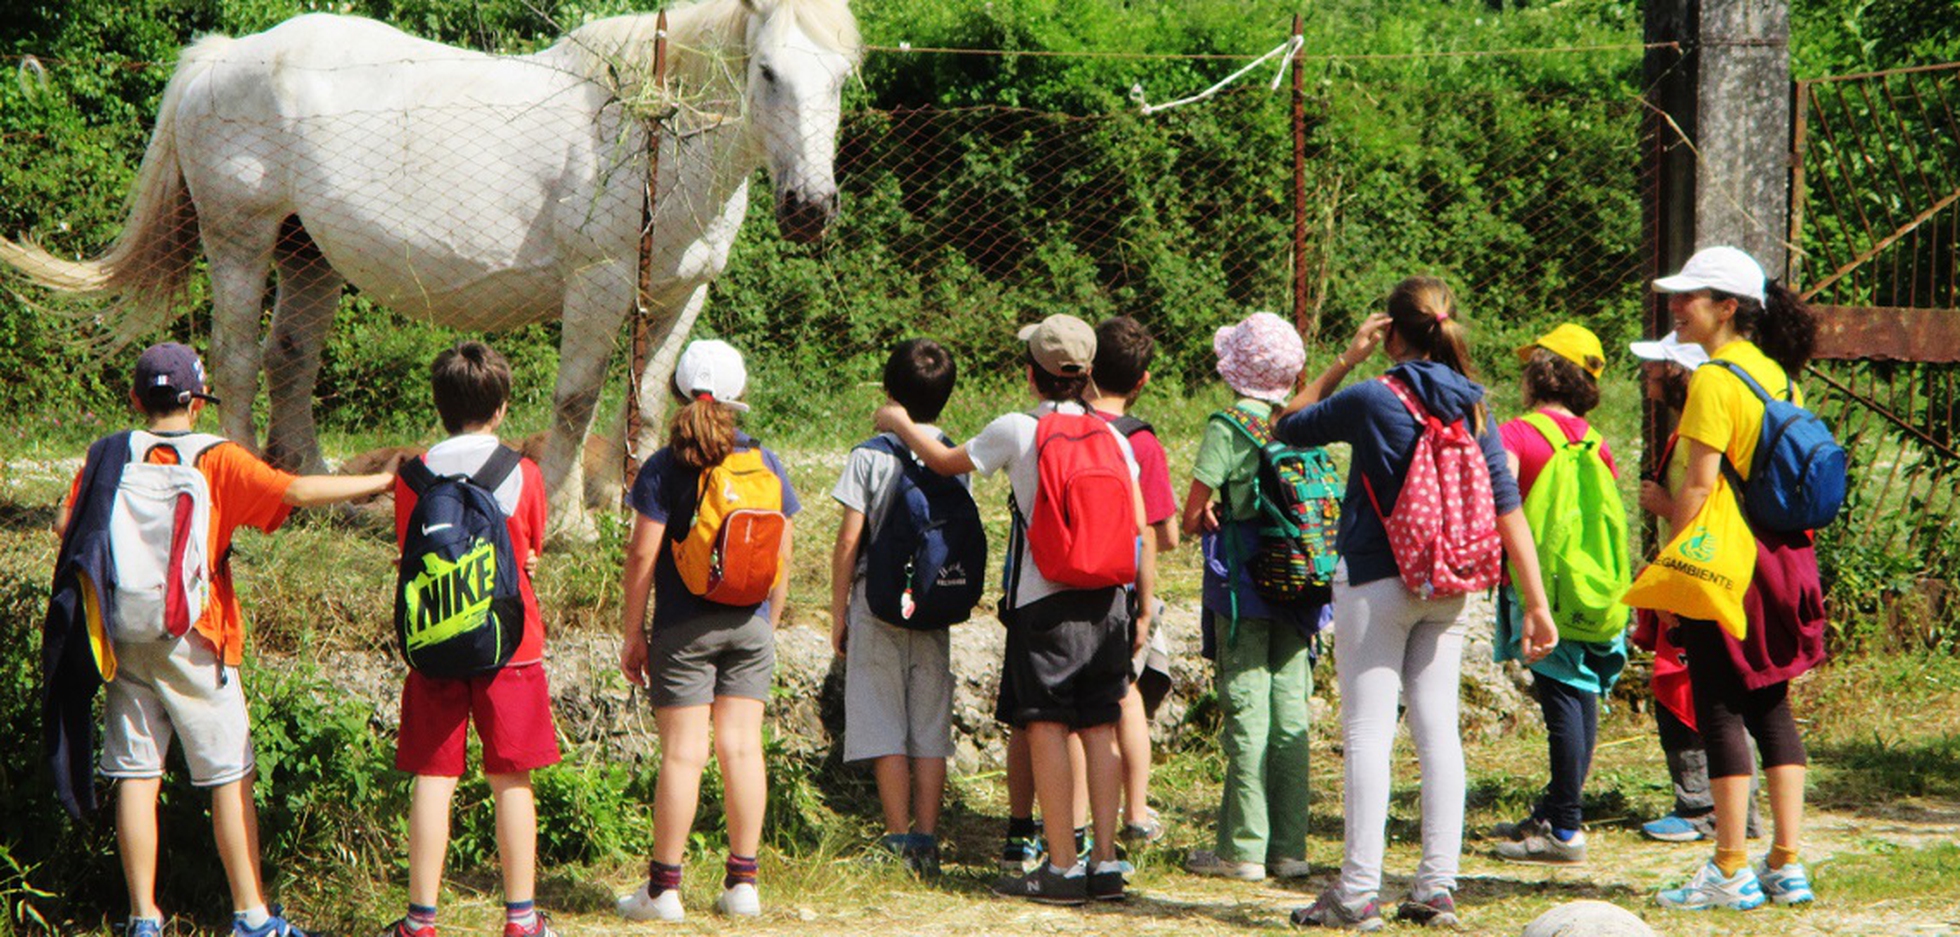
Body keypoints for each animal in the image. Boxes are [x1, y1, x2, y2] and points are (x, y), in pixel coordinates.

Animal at [1, 0, 858, 533]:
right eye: (768, 72)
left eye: (841, 76)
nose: (809, 207)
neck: (653, 132)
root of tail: (222, 57)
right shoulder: (601, 282)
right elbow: (577, 399)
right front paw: (574, 521)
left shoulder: (677, 294)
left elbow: (646, 400)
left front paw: (630, 506)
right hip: (240, 242)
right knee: (239, 359)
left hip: (308, 256)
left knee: (290, 358)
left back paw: (321, 488)